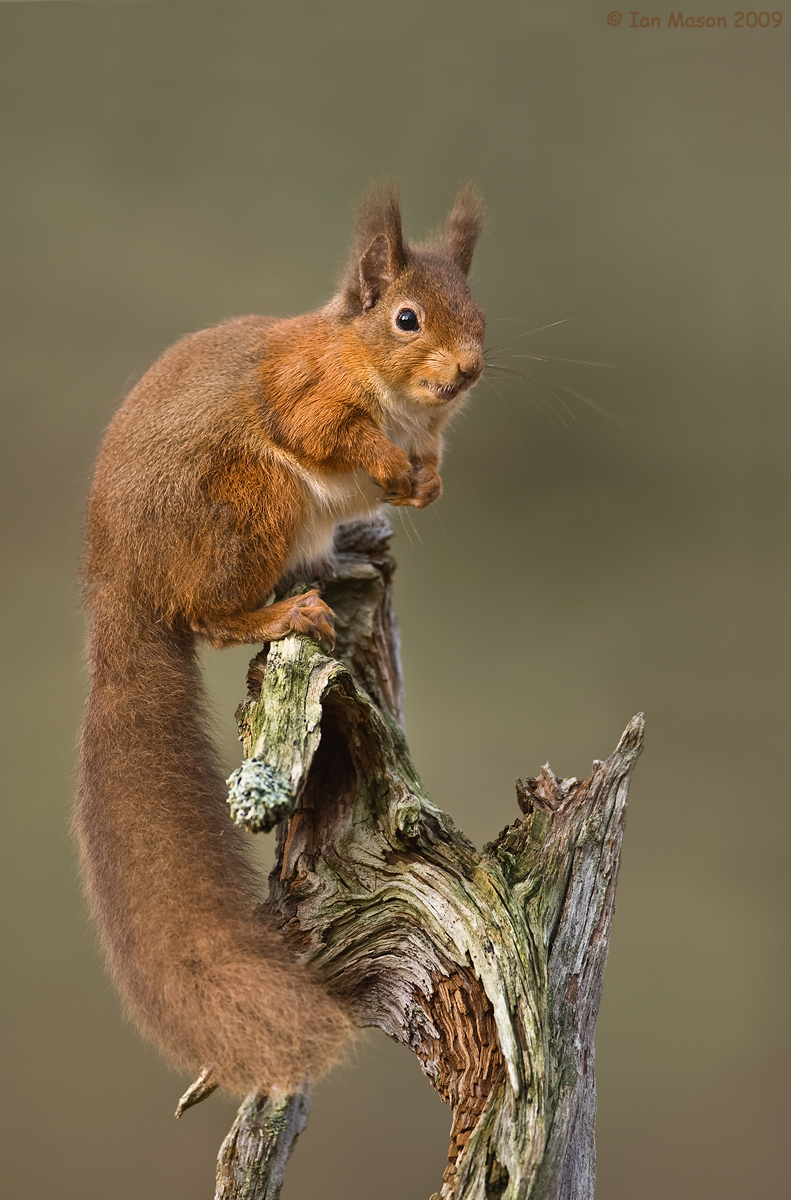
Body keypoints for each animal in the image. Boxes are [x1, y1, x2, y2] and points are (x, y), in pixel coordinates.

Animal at [75, 182, 485, 1099]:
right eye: (406, 319)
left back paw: (346, 556)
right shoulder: (302, 391)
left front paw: (428, 482)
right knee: (207, 615)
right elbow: (327, 431)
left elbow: (426, 469)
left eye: (481, 311)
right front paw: (387, 461)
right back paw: (283, 613)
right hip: (253, 497)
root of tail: (119, 577)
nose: (469, 370)